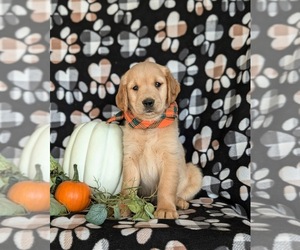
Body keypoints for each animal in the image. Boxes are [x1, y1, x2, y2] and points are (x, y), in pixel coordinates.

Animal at [113, 62, 203, 219]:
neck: (149, 126)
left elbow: (166, 186)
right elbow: (128, 186)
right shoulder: (130, 158)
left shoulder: (169, 158)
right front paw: (124, 206)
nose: (148, 102)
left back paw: (180, 202)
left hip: (194, 172)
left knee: (180, 194)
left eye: (157, 84)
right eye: (135, 88)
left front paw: (166, 209)